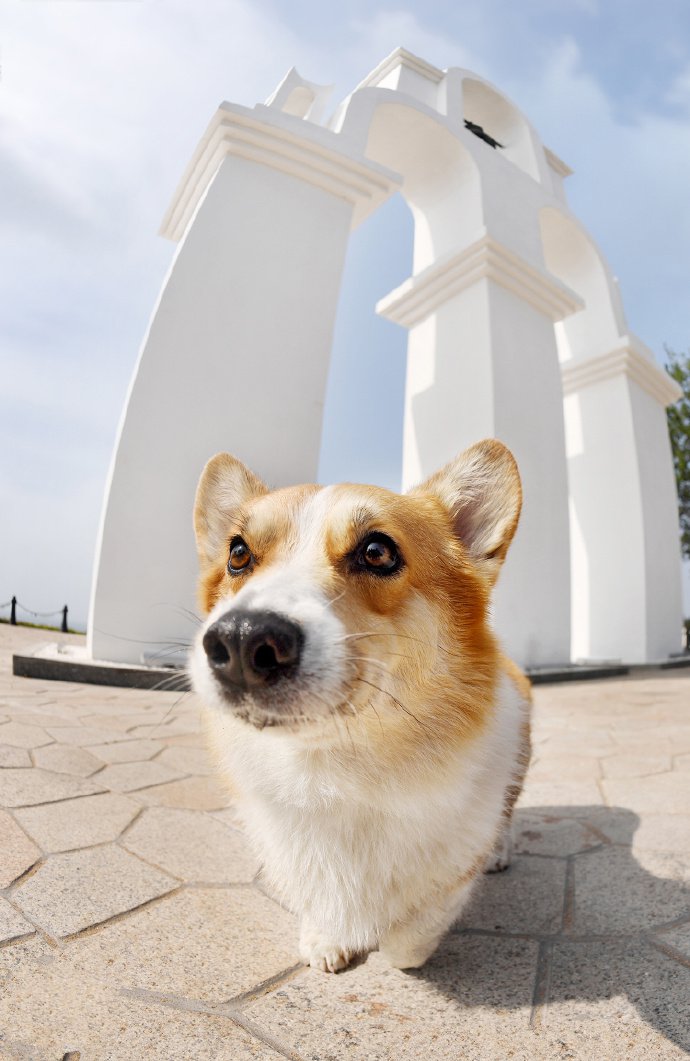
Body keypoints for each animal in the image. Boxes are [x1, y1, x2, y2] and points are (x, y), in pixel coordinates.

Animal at [191, 437, 528, 971]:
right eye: (238, 553)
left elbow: (414, 933)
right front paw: (326, 939)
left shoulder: (454, 866)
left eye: (377, 551)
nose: (242, 639)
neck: (337, 767)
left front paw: (395, 947)